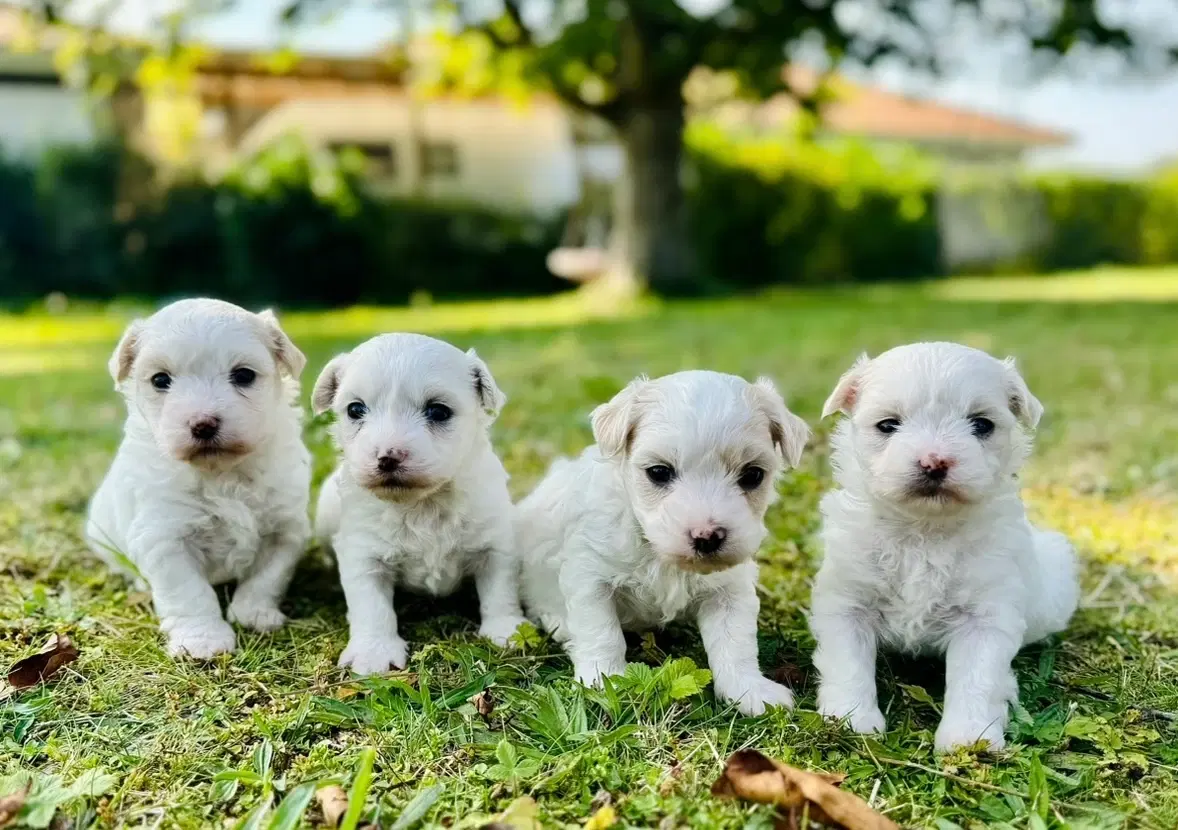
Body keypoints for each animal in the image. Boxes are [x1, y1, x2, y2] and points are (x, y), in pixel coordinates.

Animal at [86, 294, 310, 659]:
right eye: (160, 380)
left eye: (244, 375)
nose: (203, 423)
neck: (222, 473)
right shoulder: (165, 537)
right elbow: (189, 592)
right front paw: (203, 639)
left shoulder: (285, 529)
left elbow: (267, 576)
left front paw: (254, 614)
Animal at [318, 332, 530, 673]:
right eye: (355, 409)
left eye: (438, 411)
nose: (387, 456)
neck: (422, 503)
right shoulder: (362, 554)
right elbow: (371, 606)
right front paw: (374, 652)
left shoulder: (497, 544)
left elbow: (500, 589)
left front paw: (507, 631)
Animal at [518, 369, 810, 711]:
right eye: (658, 472)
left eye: (753, 475)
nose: (707, 536)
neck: (658, 553)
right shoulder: (590, 575)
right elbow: (601, 632)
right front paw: (605, 681)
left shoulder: (730, 589)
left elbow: (735, 641)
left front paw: (749, 689)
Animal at [810, 343, 1079, 753]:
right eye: (887, 425)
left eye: (982, 424)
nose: (934, 461)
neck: (924, 530)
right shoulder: (846, 601)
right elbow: (849, 661)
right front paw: (851, 719)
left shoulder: (986, 617)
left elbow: (976, 678)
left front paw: (969, 737)